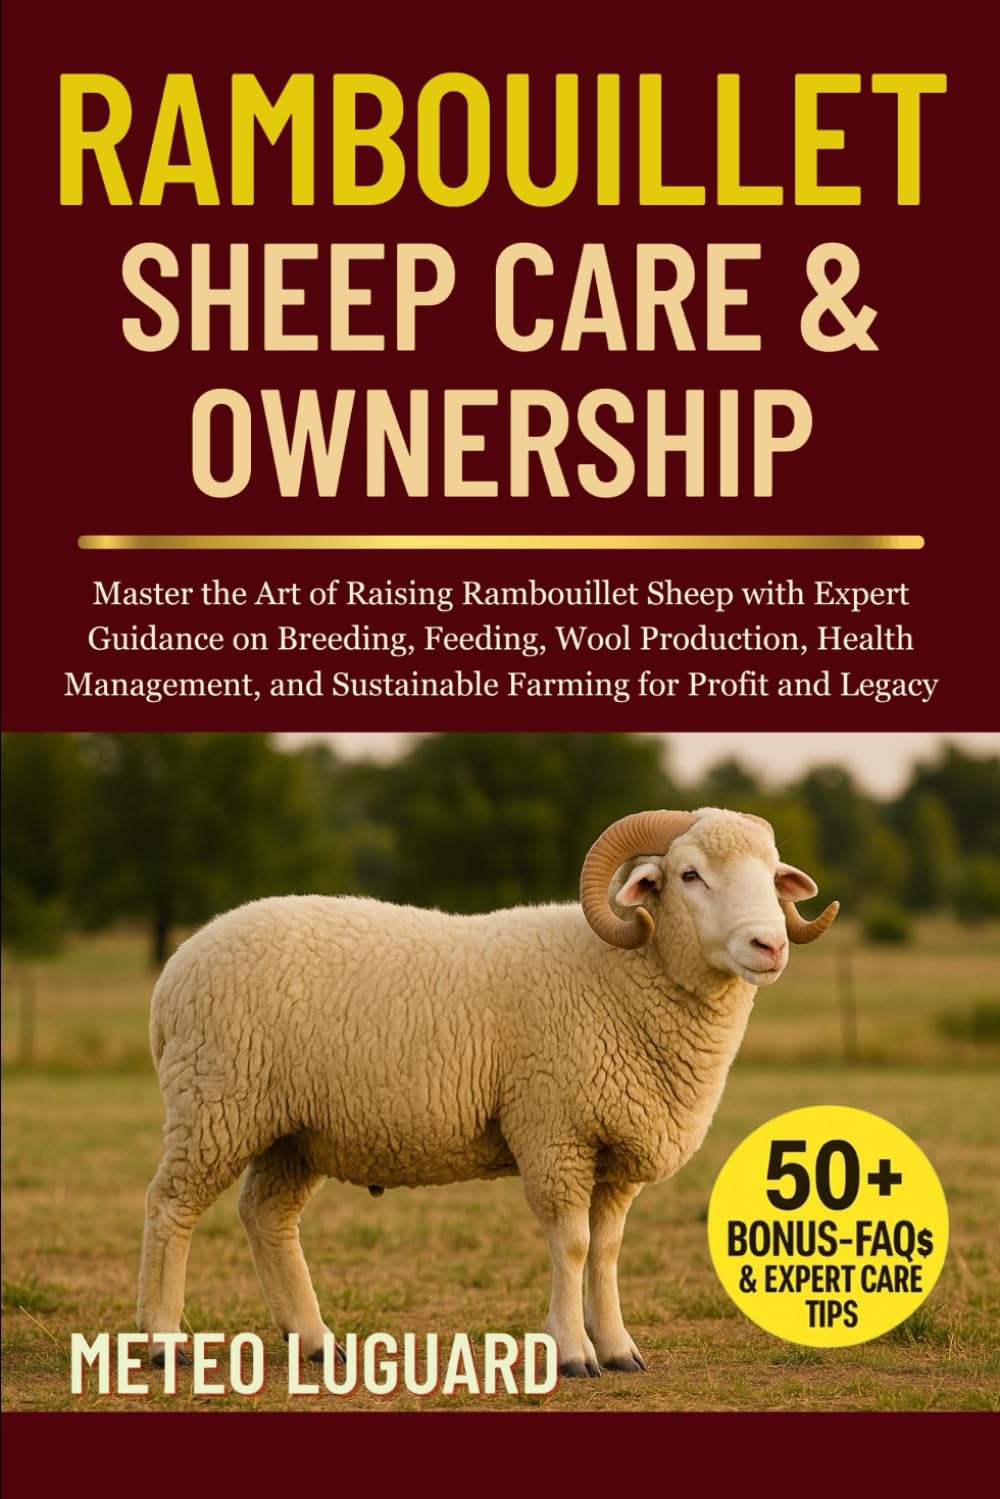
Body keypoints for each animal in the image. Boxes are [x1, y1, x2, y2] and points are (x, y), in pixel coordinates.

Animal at [137, 806, 837, 1376]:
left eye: (773, 875)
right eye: (690, 875)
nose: (769, 944)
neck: (622, 971)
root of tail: (175, 970)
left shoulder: (613, 1150)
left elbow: (607, 1251)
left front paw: (617, 1348)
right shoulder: (555, 1130)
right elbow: (573, 1243)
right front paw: (573, 1353)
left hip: (292, 1131)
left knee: (267, 1217)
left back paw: (314, 1341)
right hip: (215, 1102)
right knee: (171, 1206)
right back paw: (164, 1342)